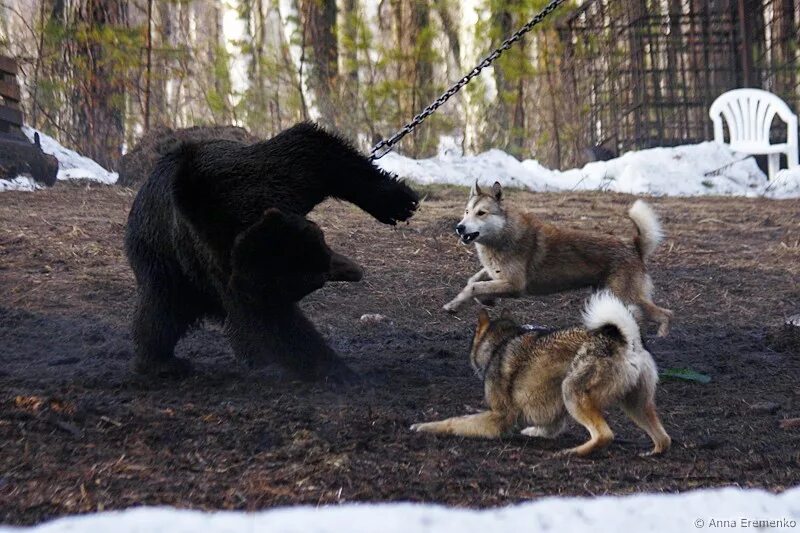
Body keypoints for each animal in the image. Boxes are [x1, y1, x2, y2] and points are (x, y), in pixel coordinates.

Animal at [412, 290, 668, 458]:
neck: (501, 342)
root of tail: (627, 339)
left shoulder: (499, 417)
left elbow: (454, 421)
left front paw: (425, 427)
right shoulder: (552, 414)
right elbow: (547, 428)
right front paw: (533, 432)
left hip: (572, 392)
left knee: (604, 435)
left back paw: (572, 452)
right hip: (635, 405)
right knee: (664, 439)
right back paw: (652, 453)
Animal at [444, 181, 676, 334]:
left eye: (481, 213)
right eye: (466, 212)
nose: (459, 227)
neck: (502, 235)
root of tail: (634, 247)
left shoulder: (515, 285)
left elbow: (474, 286)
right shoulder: (496, 275)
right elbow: (473, 281)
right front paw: (471, 302)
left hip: (626, 296)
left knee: (666, 314)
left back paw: (661, 338)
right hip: (610, 295)